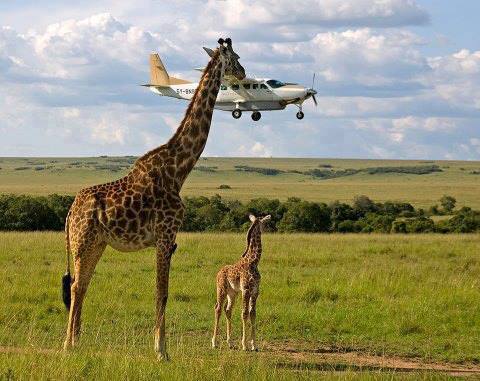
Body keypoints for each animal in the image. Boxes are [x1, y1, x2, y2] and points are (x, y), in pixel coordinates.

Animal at [62, 37, 246, 358]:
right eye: (234, 57)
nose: (244, 72)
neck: (178, 170)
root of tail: (71, 211)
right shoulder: (164, 235)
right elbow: (162, 292)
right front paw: (162, 351)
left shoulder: (168, 239)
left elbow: (162, 292)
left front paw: (161, 347)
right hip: (82, 242)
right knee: (75, 286)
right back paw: (68, 344)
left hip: (96, 243)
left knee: (81, 285)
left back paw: (77, 341)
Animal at [210, 214, 270, 350]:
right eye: (264, 223)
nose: (269, 229)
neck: (253, 262)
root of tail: (218, 272)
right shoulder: (246, 290)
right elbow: (244, 313)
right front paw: (244, 345)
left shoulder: (255, 291)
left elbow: (253, 313)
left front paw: (254, 345)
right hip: (221, 289)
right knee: (218, 308)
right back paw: (214, 342)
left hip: (233, 293)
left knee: (228, 309)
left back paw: (230, 343)